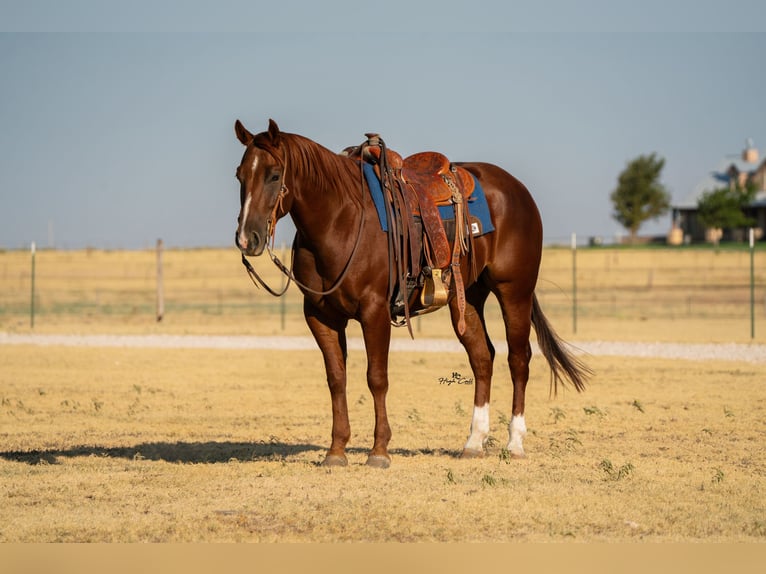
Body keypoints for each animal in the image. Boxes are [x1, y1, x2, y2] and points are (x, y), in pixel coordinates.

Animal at [233, 119, 590, 468]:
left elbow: (376, 378)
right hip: (468, 298)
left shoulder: (374, 312)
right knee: (482, 358)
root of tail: (517, 189)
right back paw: (473, 443)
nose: (246, 238)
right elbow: (336, 379)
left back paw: (514, 443)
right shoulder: (321, 317)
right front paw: (335, 451)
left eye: (274, 175)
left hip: (514, 291)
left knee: (518, 359)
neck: (340, 220)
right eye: (240, 175)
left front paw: (379, 451)